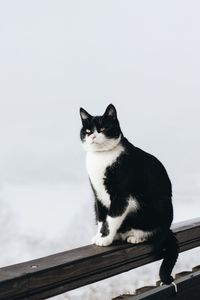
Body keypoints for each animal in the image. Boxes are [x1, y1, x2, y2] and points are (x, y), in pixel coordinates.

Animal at [79, 103, 178, 284]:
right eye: (88, 131)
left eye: (103, 128)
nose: (93, 136)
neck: (100, 158)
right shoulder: (97, 195)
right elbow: (101, 217)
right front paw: (99, 235)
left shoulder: (121, 195)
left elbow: (111, 218)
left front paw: (105, 239)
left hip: (160, 209)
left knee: (156, 232)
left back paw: (136, 236)